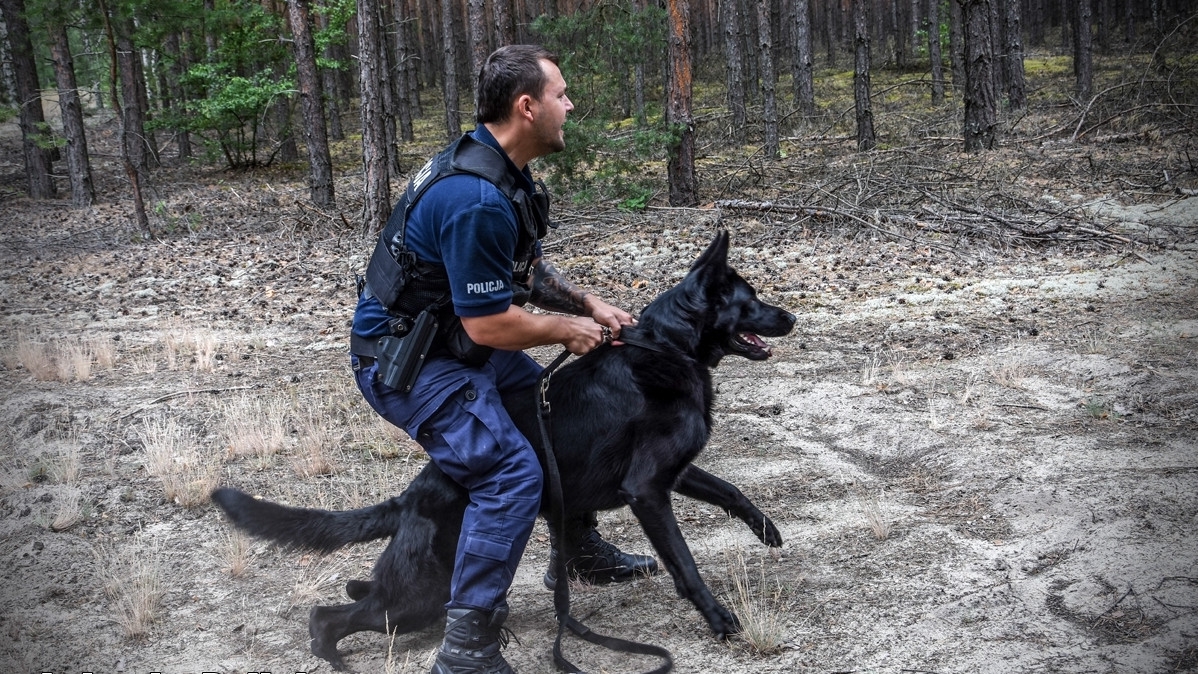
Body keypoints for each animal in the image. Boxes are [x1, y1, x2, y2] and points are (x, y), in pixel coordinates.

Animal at [213, 232, 795, 670]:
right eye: (751, 300)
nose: (791, 317)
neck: (667, 346)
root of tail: (409, 499)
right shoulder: (649, 490)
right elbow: (686, 564)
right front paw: (718, 618)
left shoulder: (674, 472)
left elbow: (730, 490)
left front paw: (766, 529)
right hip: (417, 594)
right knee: (329, 617)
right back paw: (334, 654)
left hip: (426, 591)